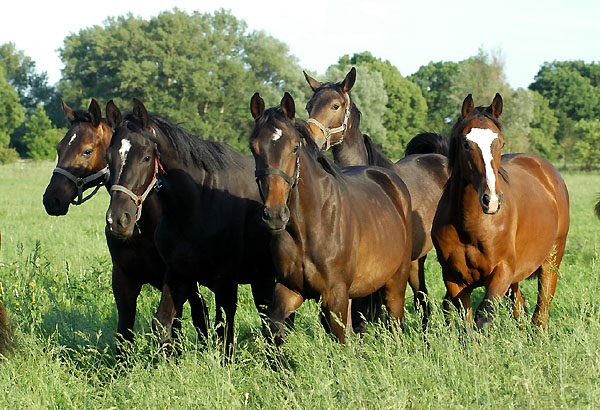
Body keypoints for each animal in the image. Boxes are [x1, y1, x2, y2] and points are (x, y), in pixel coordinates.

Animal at [42, 99, 209, 350]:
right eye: (60, 148)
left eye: (87, 151)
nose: (52, 199)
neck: (145, 227)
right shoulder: (124, 278)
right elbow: (125, 332)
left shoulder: (180, 280)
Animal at [105, 99, 276, 356]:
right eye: (108, 157)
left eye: (146, 157)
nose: (118, 219)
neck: (198, 201)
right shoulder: (179, 273)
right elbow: (163, 324)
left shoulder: (225, 280)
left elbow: (224, 329)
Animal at [248, 91, 412, 344]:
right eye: (254, 149)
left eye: (295, 147)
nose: (275, 215)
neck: (309, 228)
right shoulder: (289, 289)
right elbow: (273, 329)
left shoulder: (335, 295)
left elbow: (342, 340)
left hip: (395, 282)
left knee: (396, 325)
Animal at [432, 93, 568, 330]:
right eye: (466, 143)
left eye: (501, 142)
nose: (492, 200)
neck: (470, 226)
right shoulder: (454, 279)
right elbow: (467, 326)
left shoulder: (502, 272)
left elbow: (484, 317)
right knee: (519, 307)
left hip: (552, 260)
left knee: (541, 312)